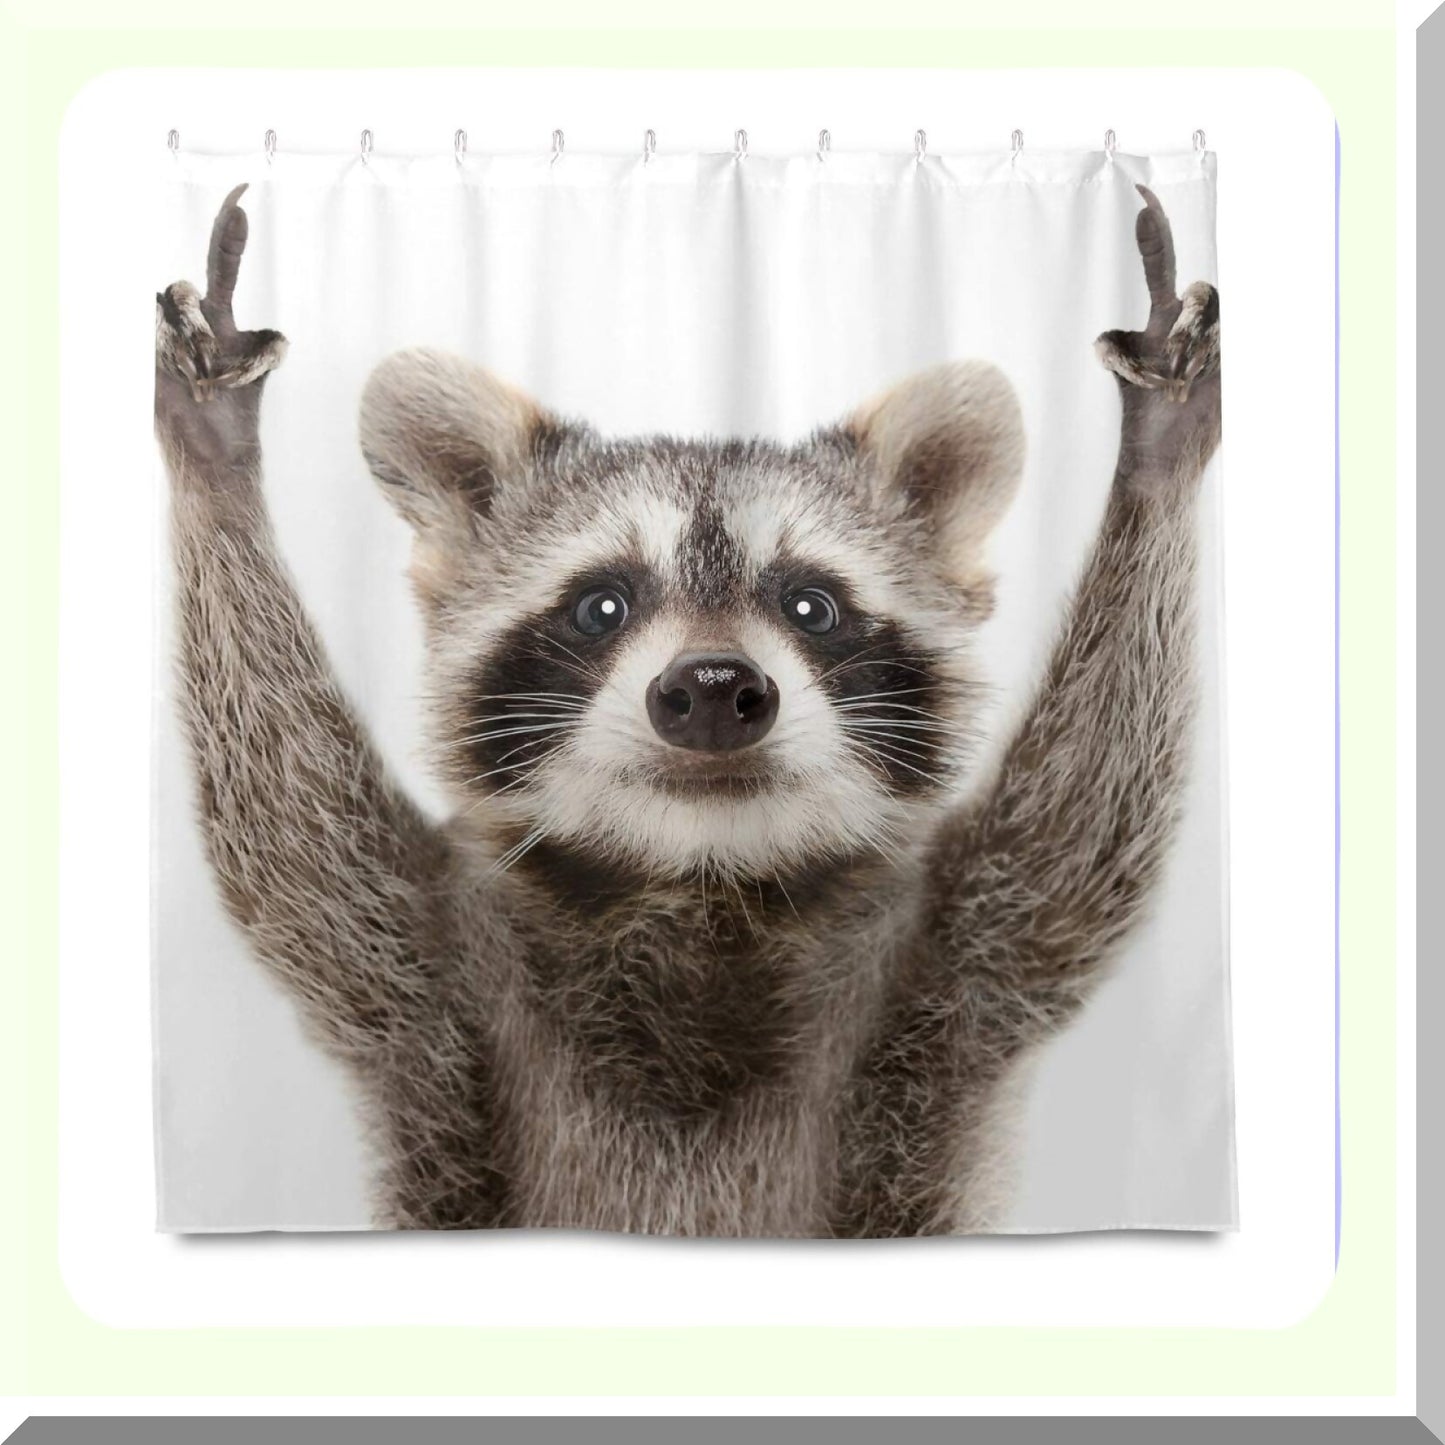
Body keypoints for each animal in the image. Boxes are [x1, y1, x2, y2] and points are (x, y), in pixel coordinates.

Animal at [154, 183, 1221, 1235]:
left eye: (811, 605)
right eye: (601, 605)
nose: (712, 690)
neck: (701, 884)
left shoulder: (952, 964)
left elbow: (1077, 835)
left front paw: (1156, 453)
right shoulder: (430, 963)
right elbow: (294, 837)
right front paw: (216, 459)